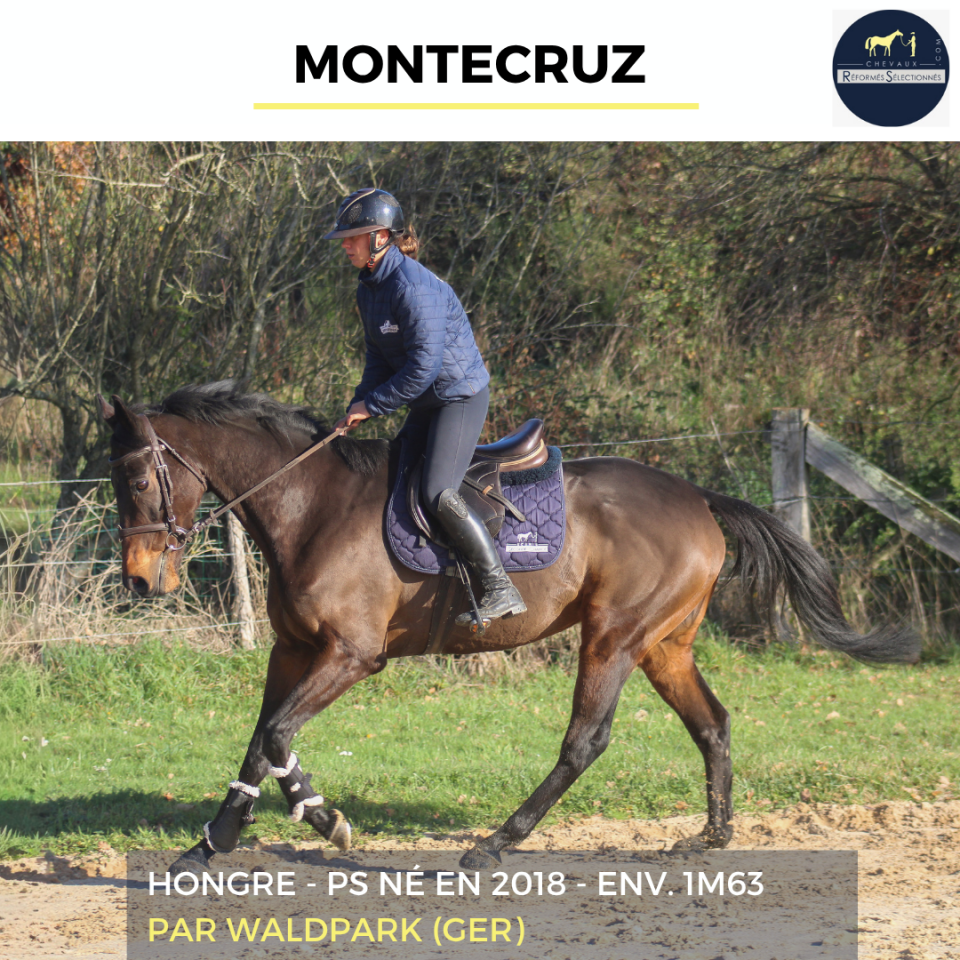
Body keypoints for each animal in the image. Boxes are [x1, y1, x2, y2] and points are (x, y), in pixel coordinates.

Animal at [97, 381, 918, 873]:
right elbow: (261, 738)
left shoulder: (352, 655)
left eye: (136, 478)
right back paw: (711, 836)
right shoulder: (293, 650)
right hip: (664, 644)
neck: (311, 504)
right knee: (710, 722)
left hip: (615, 636)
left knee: (586, 740)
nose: (139, 581)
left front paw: (324, 820)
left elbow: (275, 737)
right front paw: (210, 844)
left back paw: (497, 842)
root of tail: (697, 496)